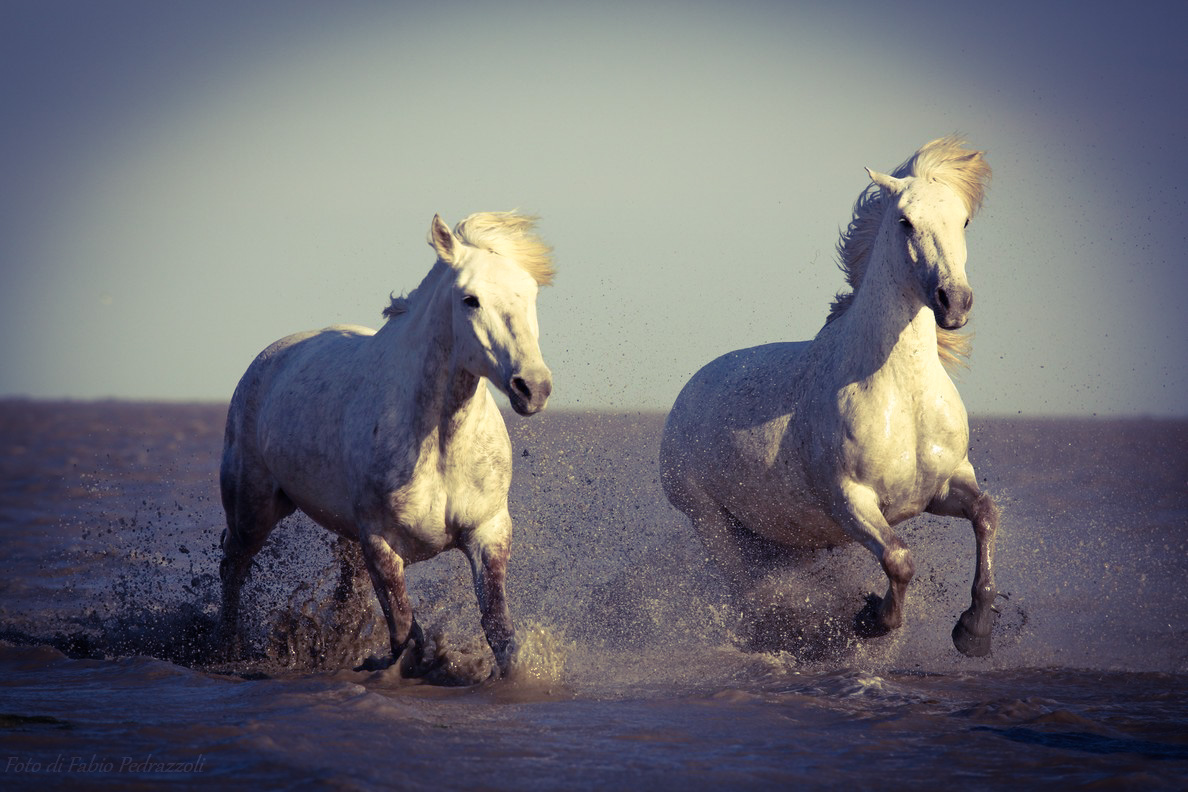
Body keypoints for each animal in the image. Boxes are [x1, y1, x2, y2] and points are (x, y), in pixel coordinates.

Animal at [217, 211, 555, 677]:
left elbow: (498, 630)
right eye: (470, 299)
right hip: (253, 510)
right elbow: (403, 630)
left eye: (531, 294)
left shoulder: (489, 532)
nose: (533, 387)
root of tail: (267, 360)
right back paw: (226, 648)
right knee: (233, 565)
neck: (441, 444)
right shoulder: (380, 542)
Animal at [660, 137, 999, 657]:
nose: (954, 302)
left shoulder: (943, 486)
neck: (903, 396)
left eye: (962, 220)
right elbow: (900, 559)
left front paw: (974, 630)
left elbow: (986, 514)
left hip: (776, 537)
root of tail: (686, 395)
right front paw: (871, 619)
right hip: (710, 523)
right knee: (748, 597)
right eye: (905, 221)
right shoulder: (850, 501)